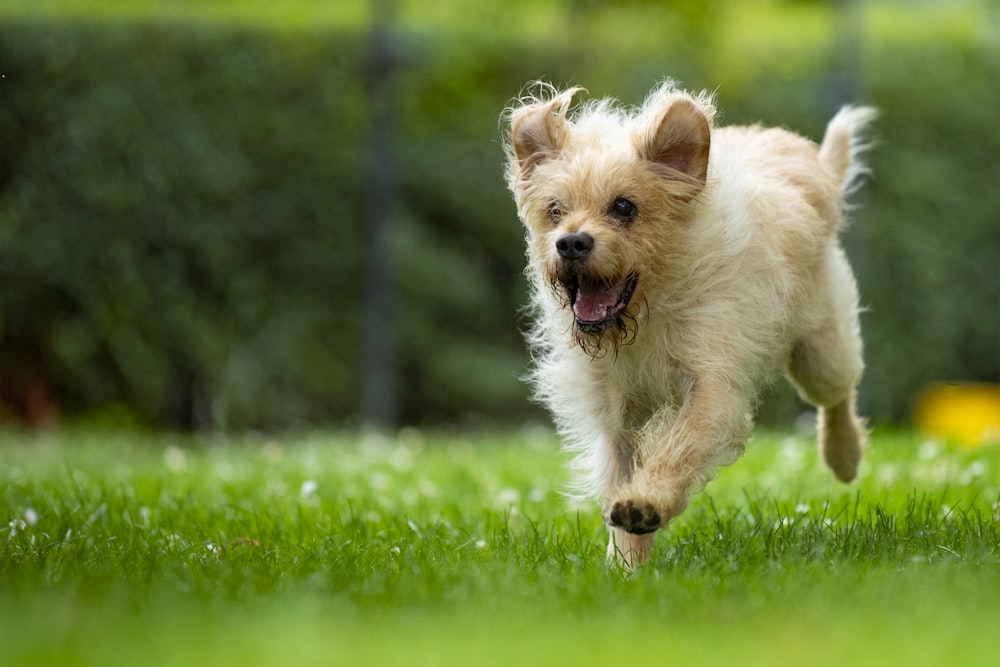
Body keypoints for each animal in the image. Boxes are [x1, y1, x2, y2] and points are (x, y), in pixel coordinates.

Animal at [504, 81, 872, 568]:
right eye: (555, 210)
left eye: (624, 206)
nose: (570, 242)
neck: (648, 311)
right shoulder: (615, 413)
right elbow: (621, 473)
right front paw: (627, 565)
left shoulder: (712, 386)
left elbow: (679, 448)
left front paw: (645, 503)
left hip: (821, 353)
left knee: (838, 394)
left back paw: (843, 455)